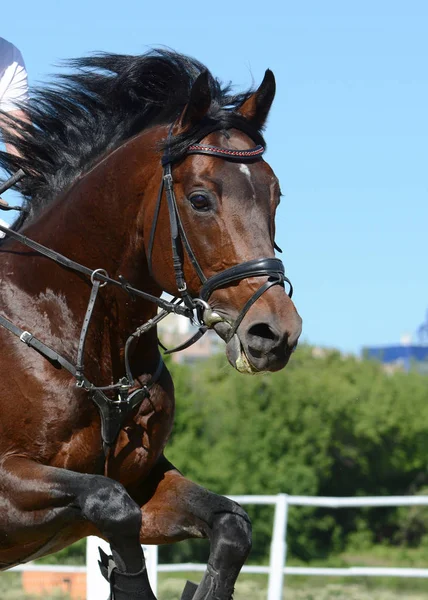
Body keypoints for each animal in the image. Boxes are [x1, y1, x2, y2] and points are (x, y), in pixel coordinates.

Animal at [0, 51, 300, 600]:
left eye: (276, 196)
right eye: (200, 199)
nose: (274, 334)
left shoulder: (144, 481)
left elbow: (231, 523)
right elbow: (111, 505)